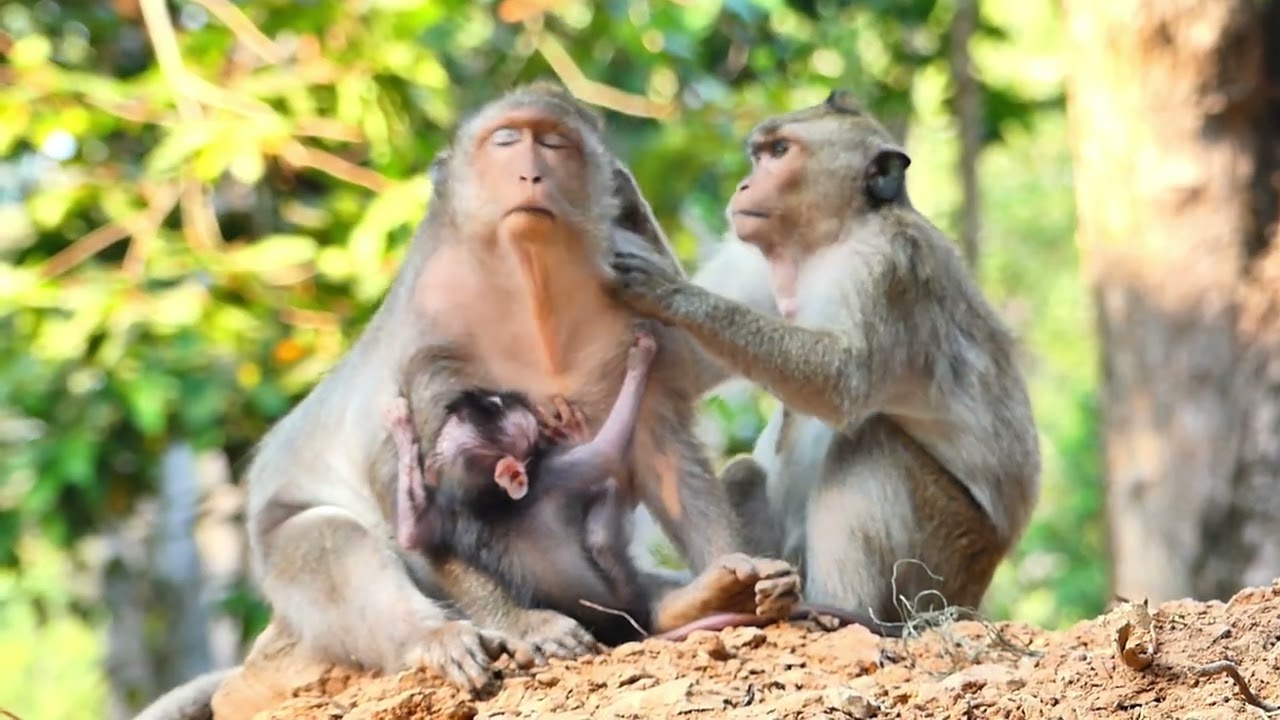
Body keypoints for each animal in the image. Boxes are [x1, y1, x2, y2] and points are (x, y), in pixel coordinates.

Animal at [606, 90, 1042, 625]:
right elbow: (685, 362)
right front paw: (618, 188)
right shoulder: (758, 266)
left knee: (873, 442)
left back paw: (836, 608)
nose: (744, 184)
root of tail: (975, 595)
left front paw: (672, 291)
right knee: (746, 473)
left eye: (779, 152)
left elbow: (840, 381)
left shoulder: (886, 267)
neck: (828, 240)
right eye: (758, 154)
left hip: (943, 564)